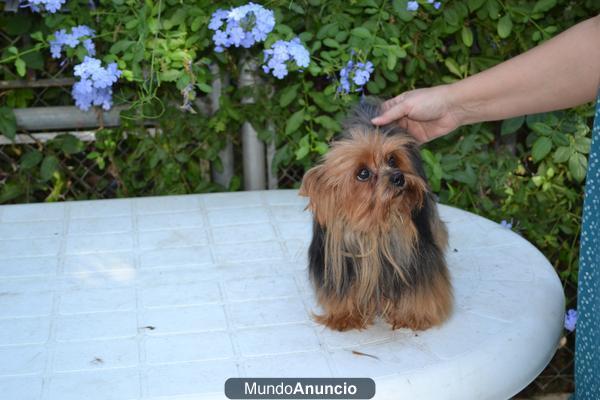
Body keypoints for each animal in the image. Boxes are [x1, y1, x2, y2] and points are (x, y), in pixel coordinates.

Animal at [298, 99, 452, 332]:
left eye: (392, 160)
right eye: (363, 173)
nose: (398, 177)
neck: (376, 226)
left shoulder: (417, 255)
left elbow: (422, 286)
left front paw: (415, 315)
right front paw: (345, 315)